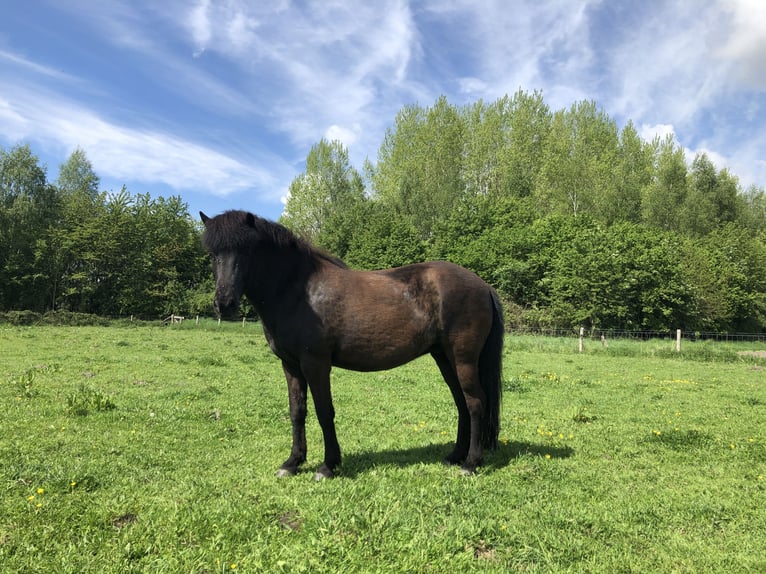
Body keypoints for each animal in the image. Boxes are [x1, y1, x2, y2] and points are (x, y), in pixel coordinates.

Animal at [201, 212, 508, 482]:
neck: (299, 292)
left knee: (475, 403)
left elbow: (325, 412)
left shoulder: (316, 364)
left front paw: (327, 466)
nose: (224, 303)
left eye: (247, 251)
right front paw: (292, 463)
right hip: (444, 358)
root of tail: (483, 286)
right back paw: (455, 456)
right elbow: (297, 411)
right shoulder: (290, 365)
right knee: (462, 403)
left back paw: (470, 464)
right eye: (213, 254)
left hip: (463, 359)